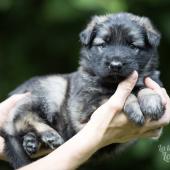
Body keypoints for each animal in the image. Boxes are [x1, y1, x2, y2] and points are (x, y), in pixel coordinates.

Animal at [0, 12, 165, 168]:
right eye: (103, 45)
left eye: (132, 46)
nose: (115, 65)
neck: (113, 82)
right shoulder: (87, 105)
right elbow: (117, 94)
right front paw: (134, 106)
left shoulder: (150, 80)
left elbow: (145, 87)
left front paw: (152, 102)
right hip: (52, 88)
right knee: (21, 118)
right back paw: (49, 134)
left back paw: (31, 142)